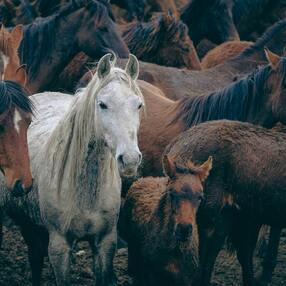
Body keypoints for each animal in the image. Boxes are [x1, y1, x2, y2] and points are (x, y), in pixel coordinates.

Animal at [0, 52, 143, 284]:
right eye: (102, 104)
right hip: (29, 226)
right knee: (35, 258)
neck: (85, 191)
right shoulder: (60, 246)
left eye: (138, 105)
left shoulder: (105, 243)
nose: (130, 159)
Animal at [120, 154, 212, 286]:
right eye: (171, 193)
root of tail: (143, 178)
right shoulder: (150, 276)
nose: (184, 229)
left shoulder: (185, 279)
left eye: (200, 197)